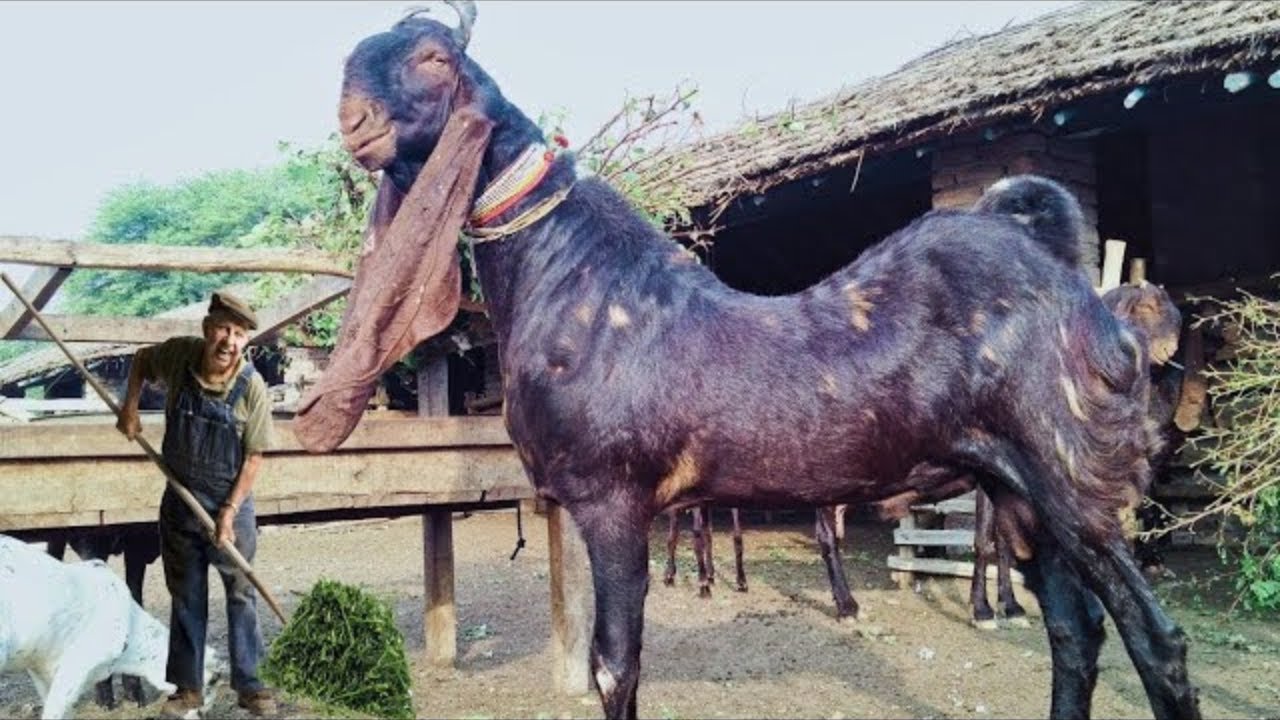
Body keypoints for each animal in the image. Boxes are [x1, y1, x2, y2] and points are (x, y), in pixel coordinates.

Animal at [307, 6, 1200, 718]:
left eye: (434, 57)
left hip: (1076, 480)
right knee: (1075, 633)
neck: (567, 276)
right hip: (1018, 492)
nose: (354, 121)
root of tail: (1069, 281)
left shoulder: (611, 497)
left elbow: (615, 669)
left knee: (1156, 641)